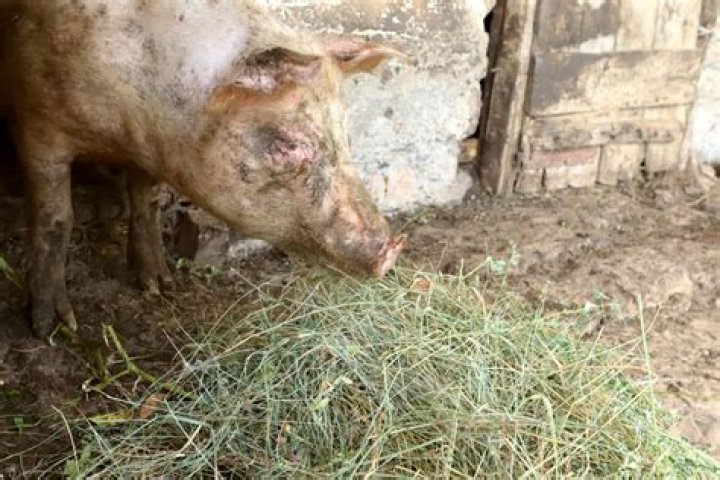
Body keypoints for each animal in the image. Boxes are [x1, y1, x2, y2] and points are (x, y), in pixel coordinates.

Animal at [0, 0, 406, 337]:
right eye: (289, 145)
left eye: (345, 134)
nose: (391, 248)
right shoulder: (37, 124)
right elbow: (56, 219)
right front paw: (52, 329)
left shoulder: (150, 150)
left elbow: (146, 202)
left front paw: (160, 286)